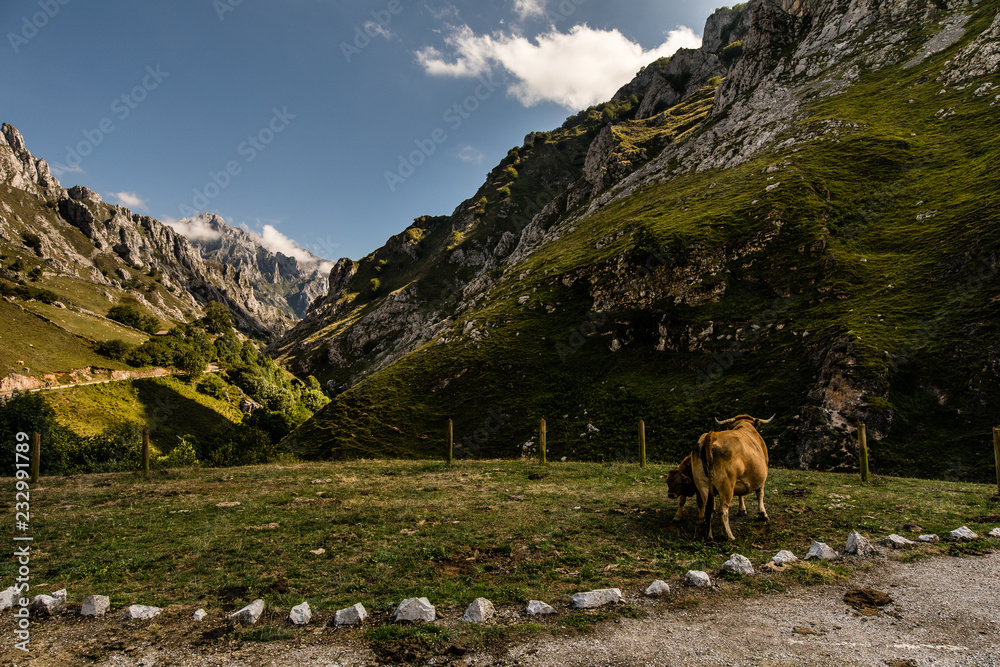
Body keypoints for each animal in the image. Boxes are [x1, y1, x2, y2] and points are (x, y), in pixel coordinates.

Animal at [692, 412, 776, 544]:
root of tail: (712, 435)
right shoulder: (762, 476)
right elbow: (760, 494)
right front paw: (763, 514)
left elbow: (741, 494)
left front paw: (742, 510)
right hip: (726, 485)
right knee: (723, 510)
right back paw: (730, 536)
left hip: (702, 484)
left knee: (708, 508)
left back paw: (709, 536)